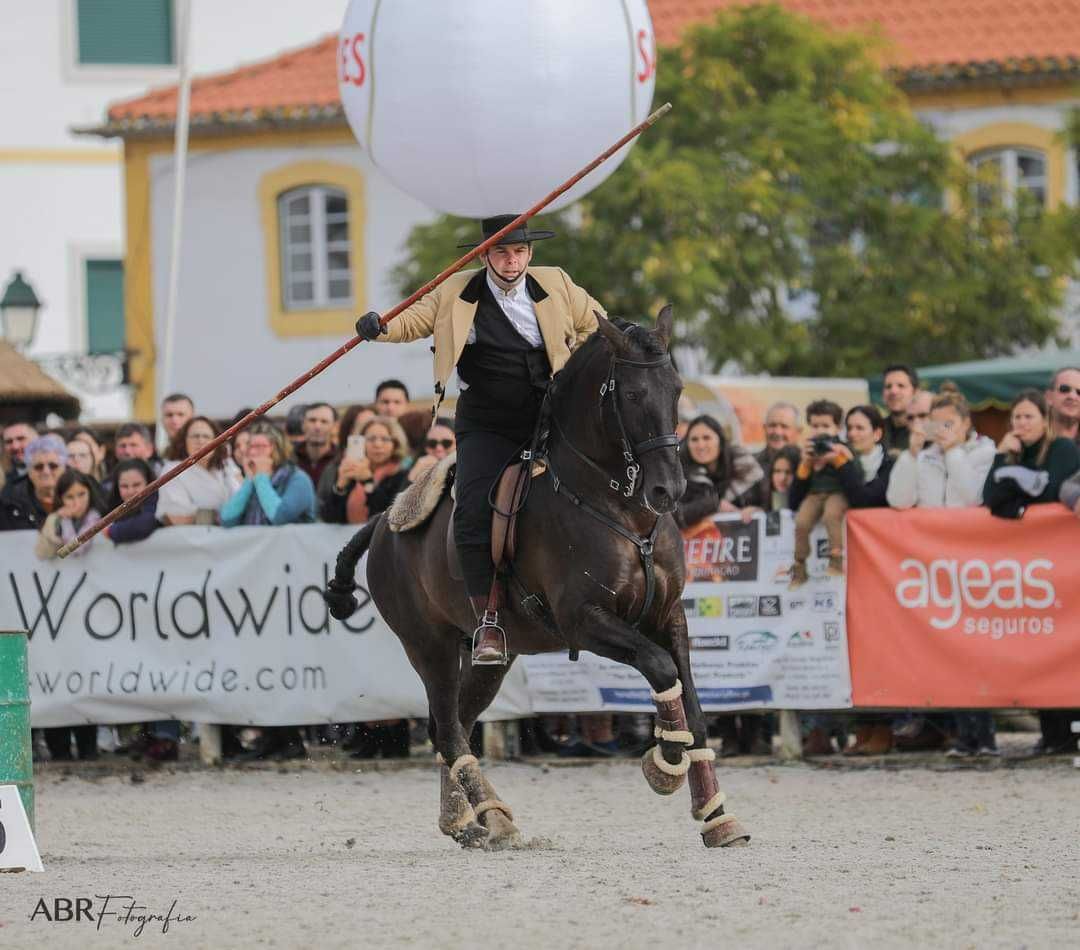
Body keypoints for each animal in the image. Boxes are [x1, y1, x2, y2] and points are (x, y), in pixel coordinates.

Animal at [321, 308, 751, 850]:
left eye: (674, 389)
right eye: (632, 395)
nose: (669, 490)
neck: (624, 512)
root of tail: (383, 520)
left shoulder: (669, 616)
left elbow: (692, 705)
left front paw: (716, 815)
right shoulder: (584, 620)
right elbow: (660, 669)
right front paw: (665, 766)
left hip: (491, 655)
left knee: (453, 720)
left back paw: (464, 819)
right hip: (428, 645)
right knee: (447, 729)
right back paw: (493, 818)